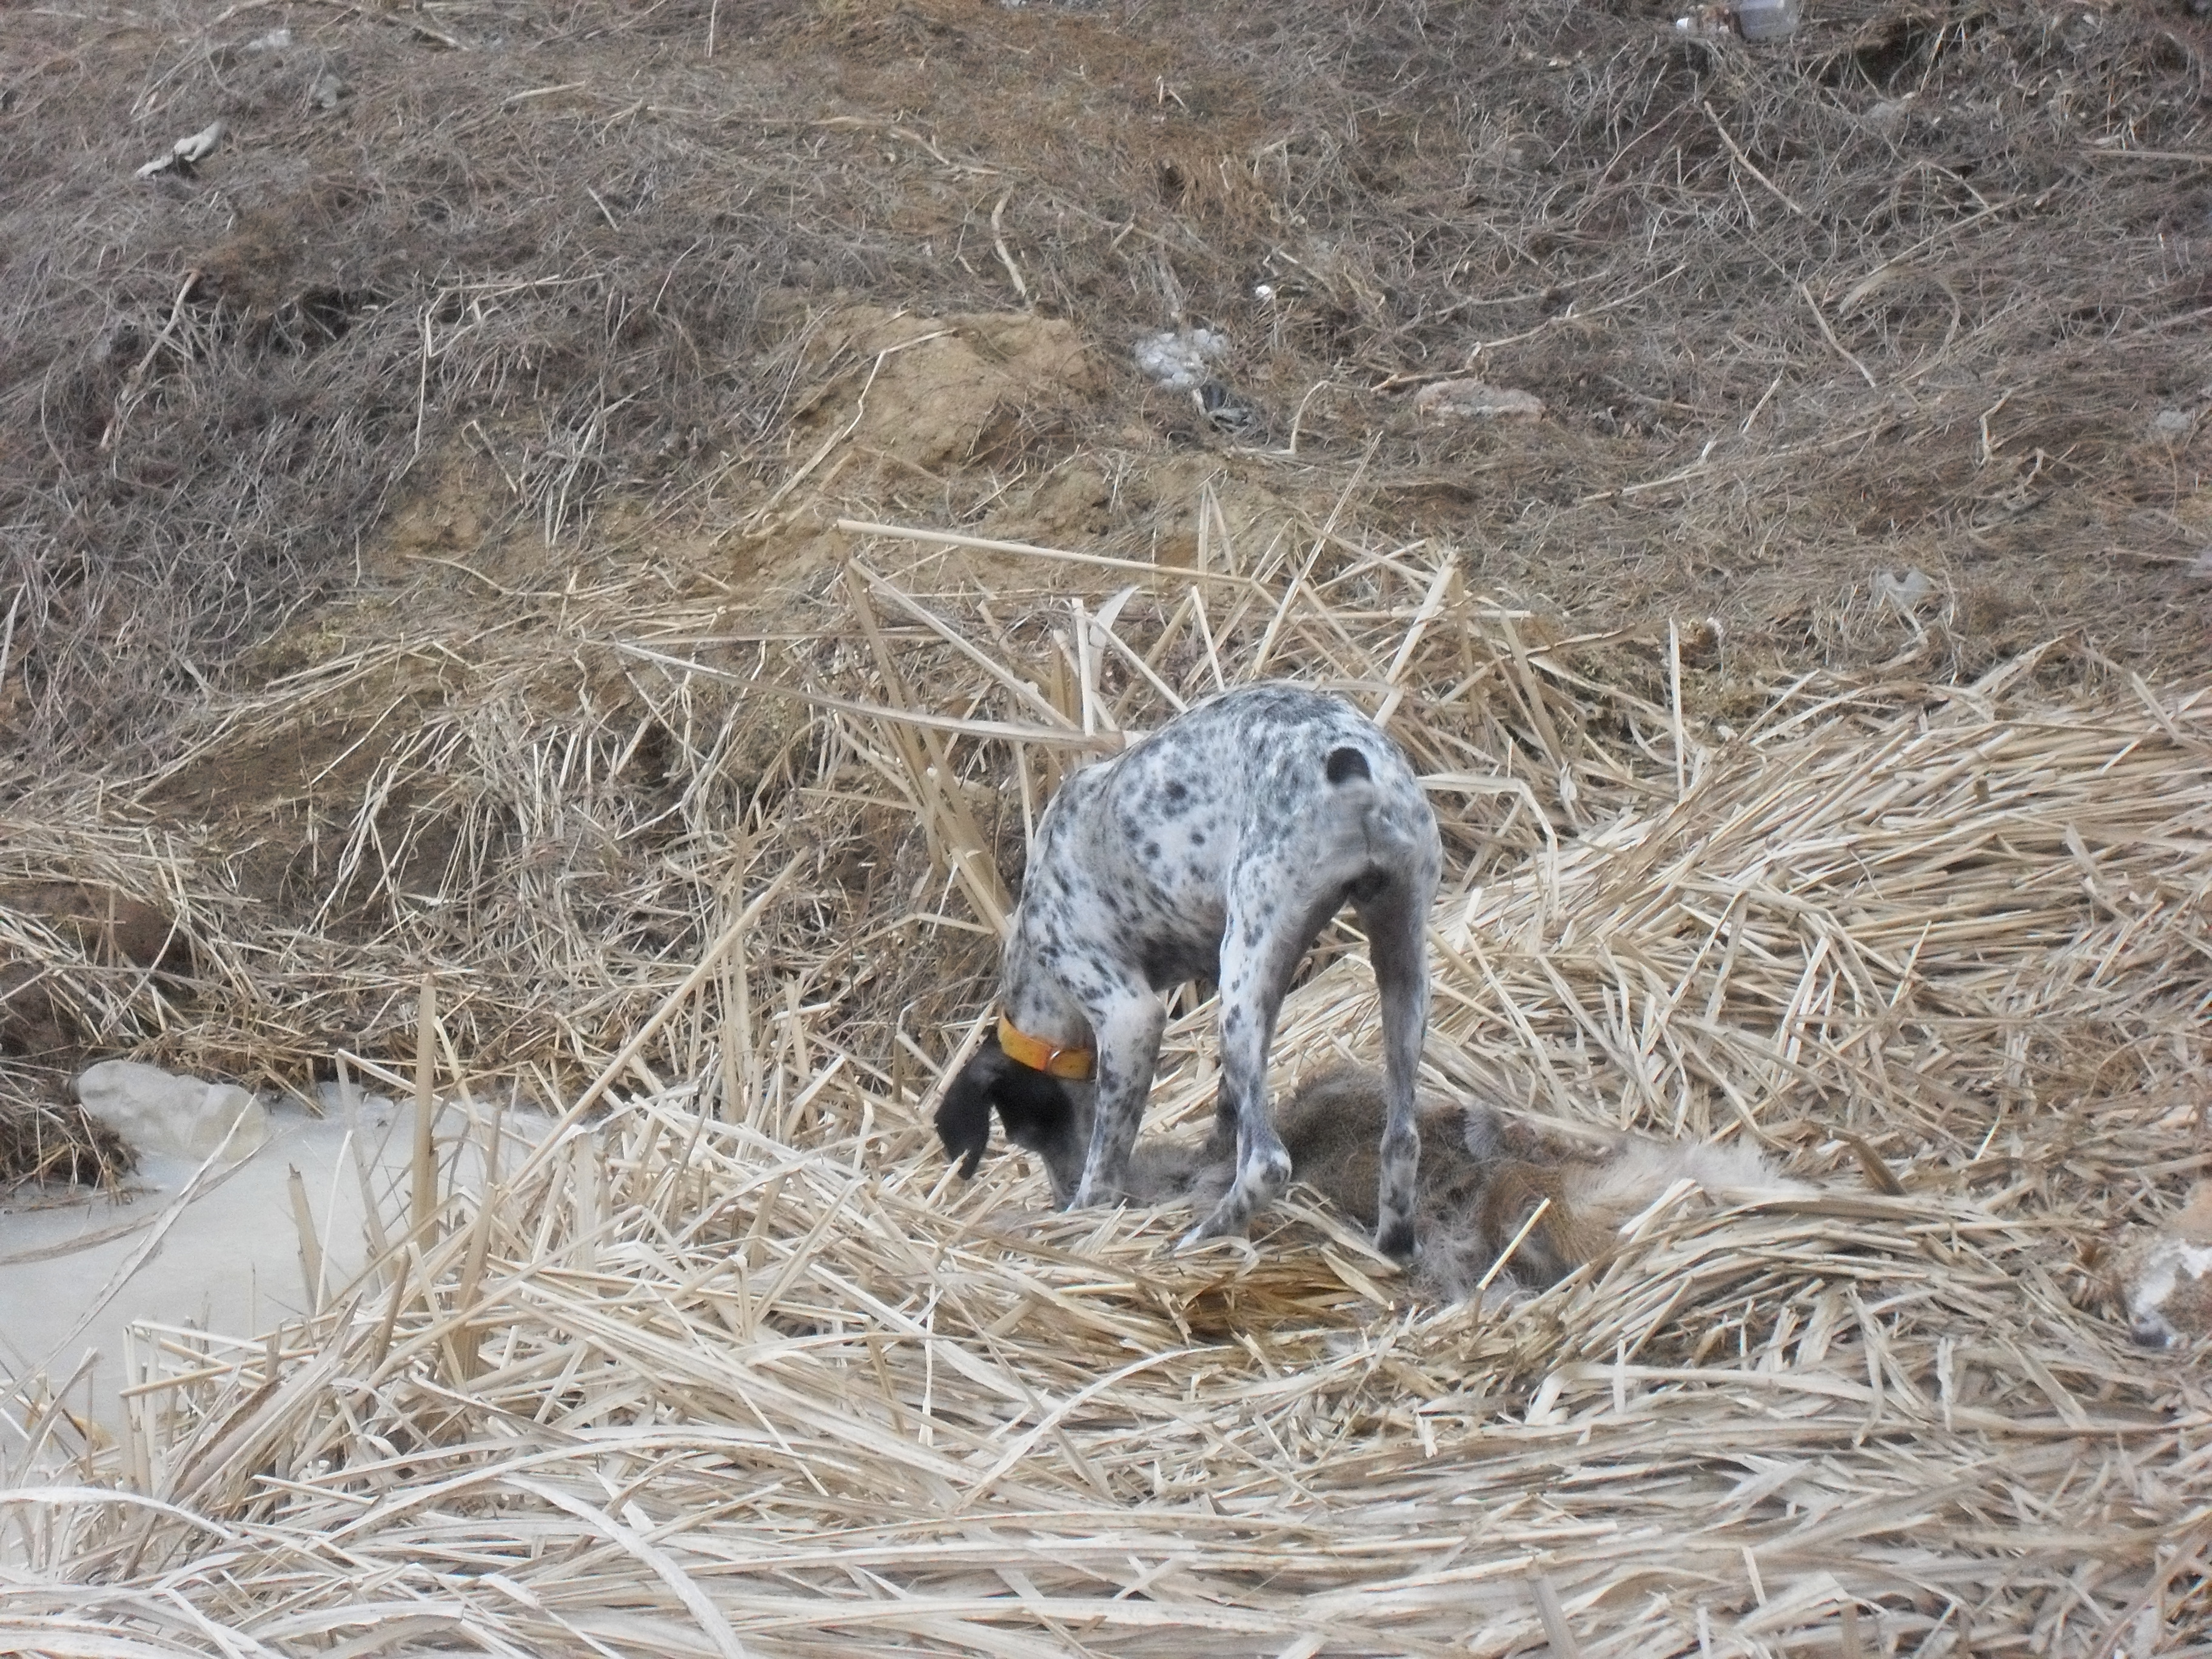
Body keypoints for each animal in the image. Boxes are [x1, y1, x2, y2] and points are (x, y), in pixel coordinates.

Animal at [936, 682, 1443, 1258]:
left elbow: (1105, 1169)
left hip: (1246, 977)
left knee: (1267, 1164)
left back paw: (1199, 1239)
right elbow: (1227, 1110)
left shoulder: (1128, 1017)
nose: (1058, 1197)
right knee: (1401, 1138)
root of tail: (1346, 760)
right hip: (1395, 962)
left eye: (1027, 1137)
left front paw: (1084, 1226)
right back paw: (1393, 1245)